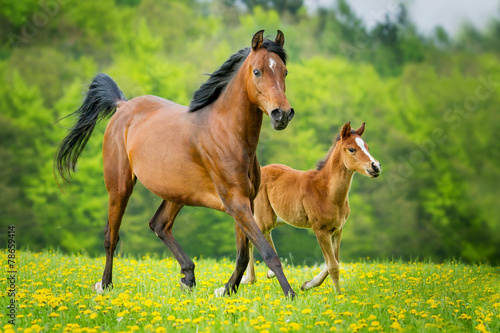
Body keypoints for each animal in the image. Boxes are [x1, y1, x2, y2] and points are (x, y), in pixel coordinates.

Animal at [54, 29, 296, 296]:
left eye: (284, 71)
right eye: (257, 71)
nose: (282, 114)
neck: (229, 135)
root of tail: (122, 105)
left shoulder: (245, 202)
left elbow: (243, 254)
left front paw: (226, 289)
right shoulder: (236, 202)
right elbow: (267, 252)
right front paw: (290, 294)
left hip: (176, 193)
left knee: (159, 224)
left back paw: (188, 276)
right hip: (120, 187)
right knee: (112, 236)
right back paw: (106, 284)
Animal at [241, 122, 378, 294]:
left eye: (367, 146)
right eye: (352, 149)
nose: (375, 167)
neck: (327, 191)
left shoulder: (337, 230)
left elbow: (335, 260)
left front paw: (308, 284)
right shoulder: (320, 229)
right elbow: (333, 265)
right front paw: (339, 295)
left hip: (277, 218)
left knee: (263, 235)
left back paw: (268, 273)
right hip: (265, 217)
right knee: (253, 237)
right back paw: (249, 278)